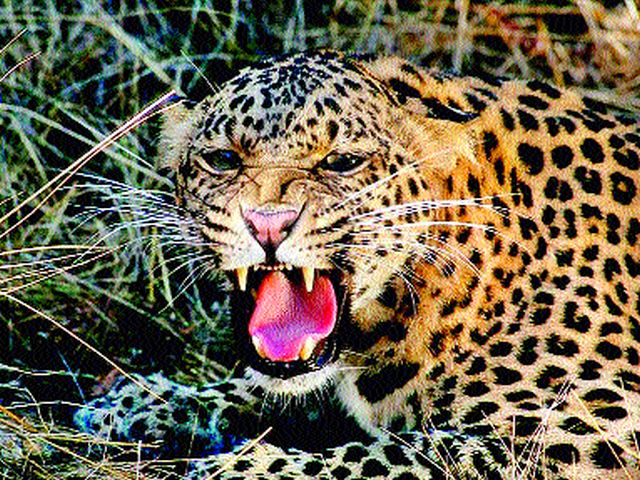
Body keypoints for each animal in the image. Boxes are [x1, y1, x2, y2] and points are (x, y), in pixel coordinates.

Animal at [76, 50, 640, 479]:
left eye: (342, 163)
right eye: (223, 160)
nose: (267, 224)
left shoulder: (599, 419)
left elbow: (412, 451)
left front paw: (242, 469)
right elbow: (256, 387)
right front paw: (141, 403)